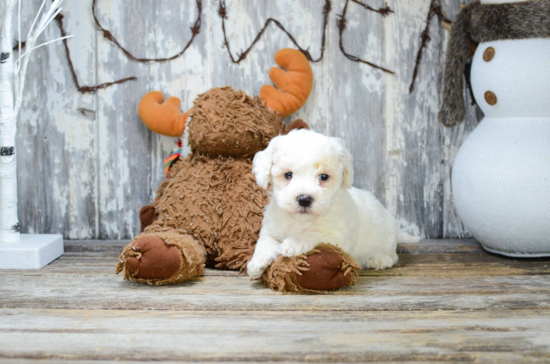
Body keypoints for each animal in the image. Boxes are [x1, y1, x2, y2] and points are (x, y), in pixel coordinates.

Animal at [248, 130, 420, 278]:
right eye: (288, 175)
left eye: (324, 177)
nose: (304, 199)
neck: (301, 221)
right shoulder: (270, 228)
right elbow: (264, 241)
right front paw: (257, 263)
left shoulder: (337, 236)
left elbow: (314, 234)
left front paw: (294, 243)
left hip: (387, 241)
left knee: (393, 256)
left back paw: (379, 259)